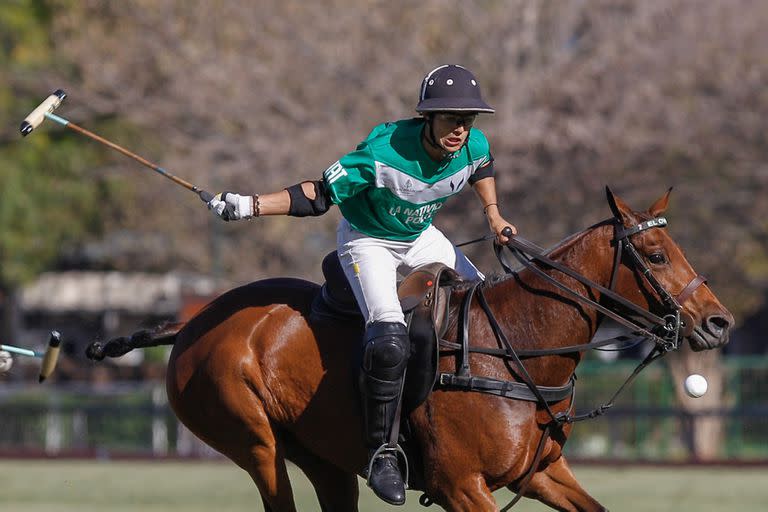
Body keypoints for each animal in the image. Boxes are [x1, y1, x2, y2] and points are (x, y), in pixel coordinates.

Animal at [87, 188, 728, 512]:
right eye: (658, 255)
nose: (719, 323)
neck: (516, 347)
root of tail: (191, 324)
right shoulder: (461, 486)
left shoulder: (541, 473)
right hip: (252, 441)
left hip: (322, 457)